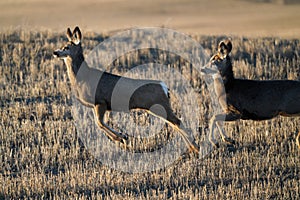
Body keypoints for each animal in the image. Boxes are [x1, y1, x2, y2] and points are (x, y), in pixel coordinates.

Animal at [53, 26, 199, 153]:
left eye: (67, 47)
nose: (55, 52)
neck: (83, 78)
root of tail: (164, 86)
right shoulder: (98, 105)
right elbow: (99, 123)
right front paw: (121, 137)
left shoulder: (100, 101)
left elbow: (99, 123)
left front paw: (121, 137)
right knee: (175, 124)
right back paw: (192, 148)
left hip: (159, 106)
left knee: (177, 122)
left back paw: (196, 148)